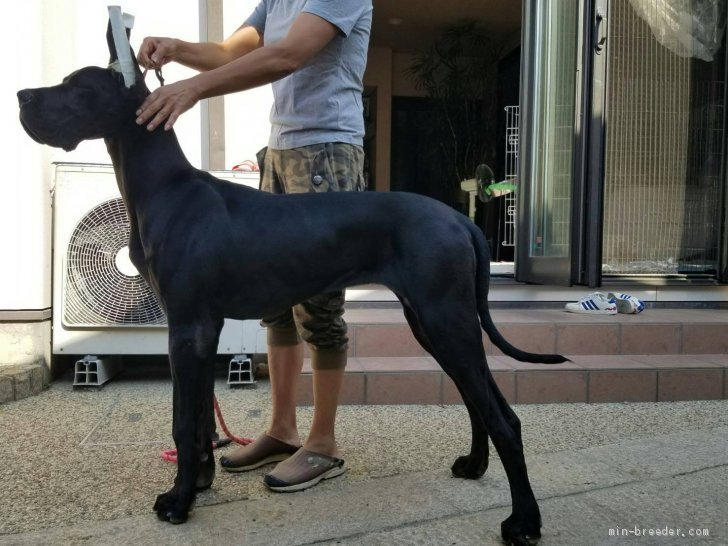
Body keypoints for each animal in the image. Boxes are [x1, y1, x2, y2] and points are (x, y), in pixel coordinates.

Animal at [15, 22, 564, 544]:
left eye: (78, 87)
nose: (22, 96)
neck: (166, 189)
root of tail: (461, 221)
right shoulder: (200, 330)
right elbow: (198, 418)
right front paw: (201, 483)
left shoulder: (188, 328)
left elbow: (182, 421)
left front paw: (178, 502)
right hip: (432, 323)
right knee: (476, 398)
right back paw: (474, 466)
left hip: (446, 319)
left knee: (504, 417)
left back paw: (524, 521)